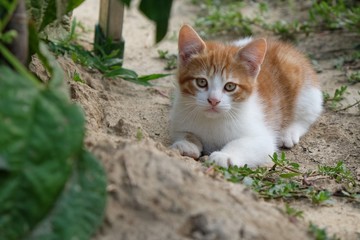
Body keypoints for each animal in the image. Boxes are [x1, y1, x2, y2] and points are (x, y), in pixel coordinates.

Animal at [169, 24, 324, 167]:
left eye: (230, 86)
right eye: (201, 82)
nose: (213, 100)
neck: (213, 120)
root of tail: (280, 45)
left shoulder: (262, 138)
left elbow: (247, 144)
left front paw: (224, 156)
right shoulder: (178, 116)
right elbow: (182, 132)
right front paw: (187, 143)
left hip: (305, 89)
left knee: (307, 115)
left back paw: (289, 132)